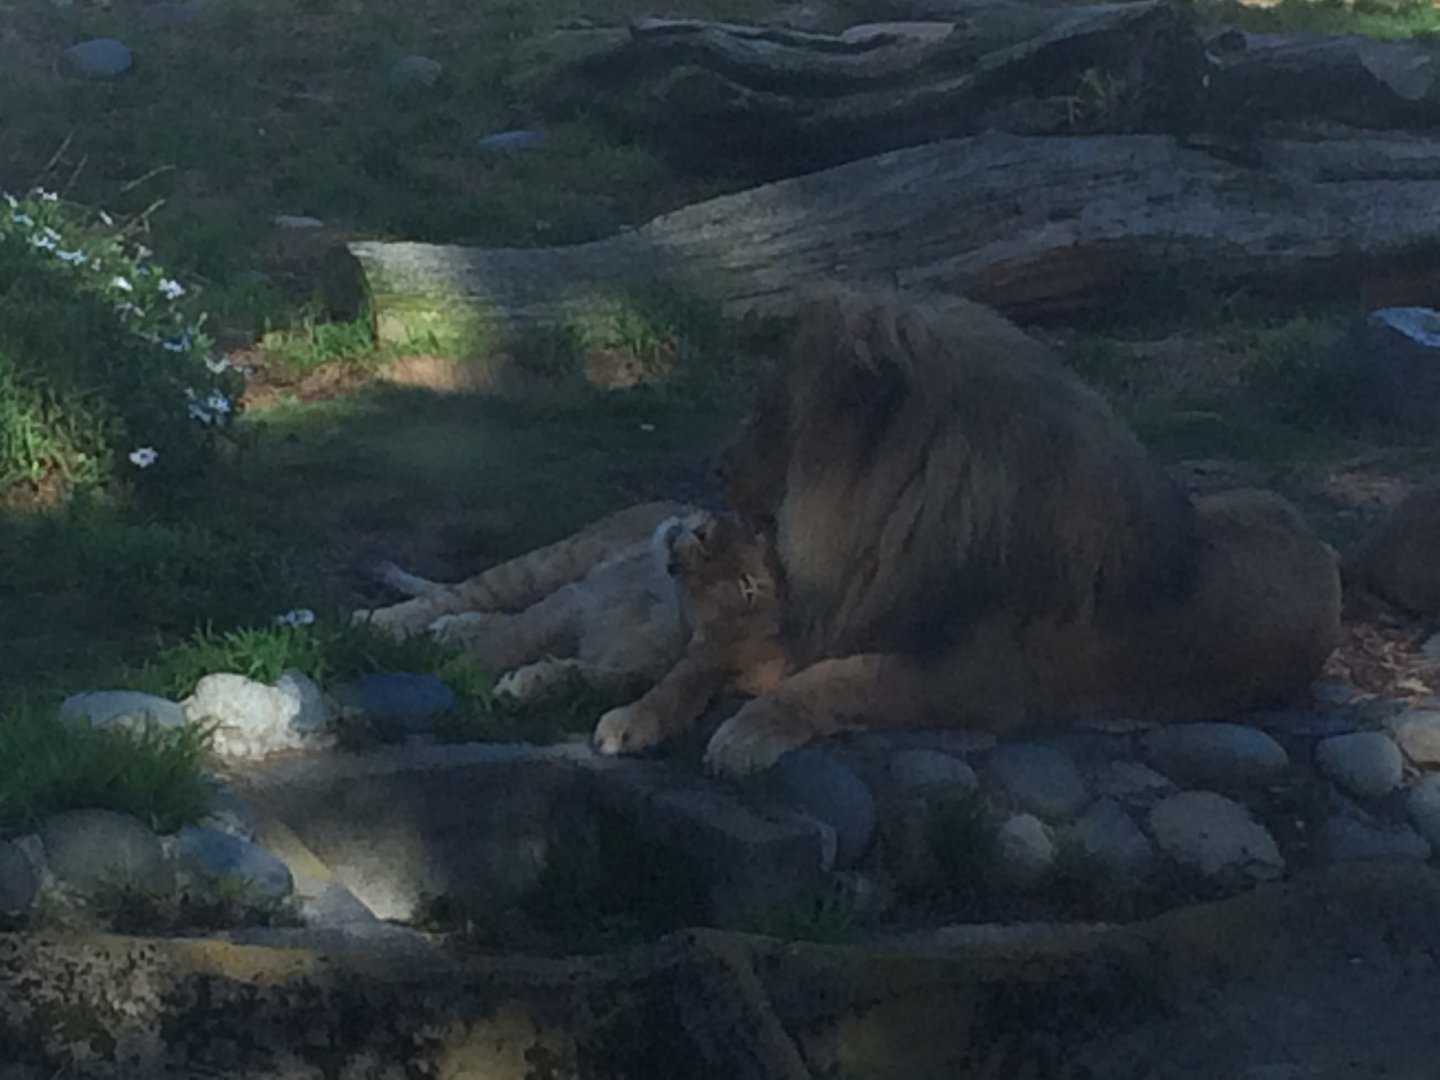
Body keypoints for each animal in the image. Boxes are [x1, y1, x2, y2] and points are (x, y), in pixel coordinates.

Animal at [672, 284, 1343, 778]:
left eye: (770, 412)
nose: (714, 465)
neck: (888, 526)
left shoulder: (984, 681)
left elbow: (838, 678)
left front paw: (744, 733)